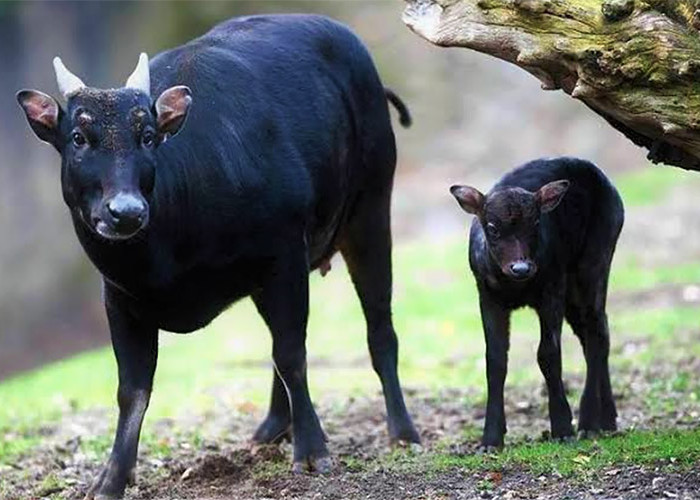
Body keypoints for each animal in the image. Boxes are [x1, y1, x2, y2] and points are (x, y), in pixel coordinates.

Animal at [17, 13, 422, 498]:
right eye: (78, 136)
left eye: (148, 136)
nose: (125, 211)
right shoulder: (119, 298)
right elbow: (132, 391)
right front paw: (112, 477)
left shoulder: (284, 256)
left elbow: (293, 354)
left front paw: (313, 451)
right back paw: (272, 427)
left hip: (370, 213)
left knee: (378, 329)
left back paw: (402, 431)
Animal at [452, 157, 628, 450]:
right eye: (492, 228)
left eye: (536, 222)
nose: (521, 267)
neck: (518, 287)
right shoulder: (487, 295)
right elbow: (495, 359)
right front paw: (491, 439)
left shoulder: (552, 288)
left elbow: (548, 353)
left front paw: (562, 428)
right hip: (573, 294)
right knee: (594, 333)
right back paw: (608, 419)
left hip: (595, 260)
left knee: (596, 332)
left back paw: (589, 423)